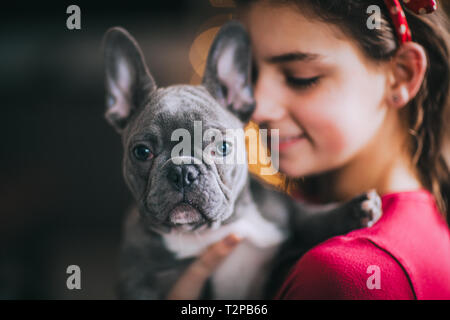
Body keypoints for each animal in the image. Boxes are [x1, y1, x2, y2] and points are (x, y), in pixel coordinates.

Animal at [102, 22, 380, 300]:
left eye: (222, 147)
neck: (205, 233)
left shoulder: (281, 213)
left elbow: (307, 217)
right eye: (142, 152)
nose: (183, 171)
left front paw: (354, 210)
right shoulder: (138, 281)